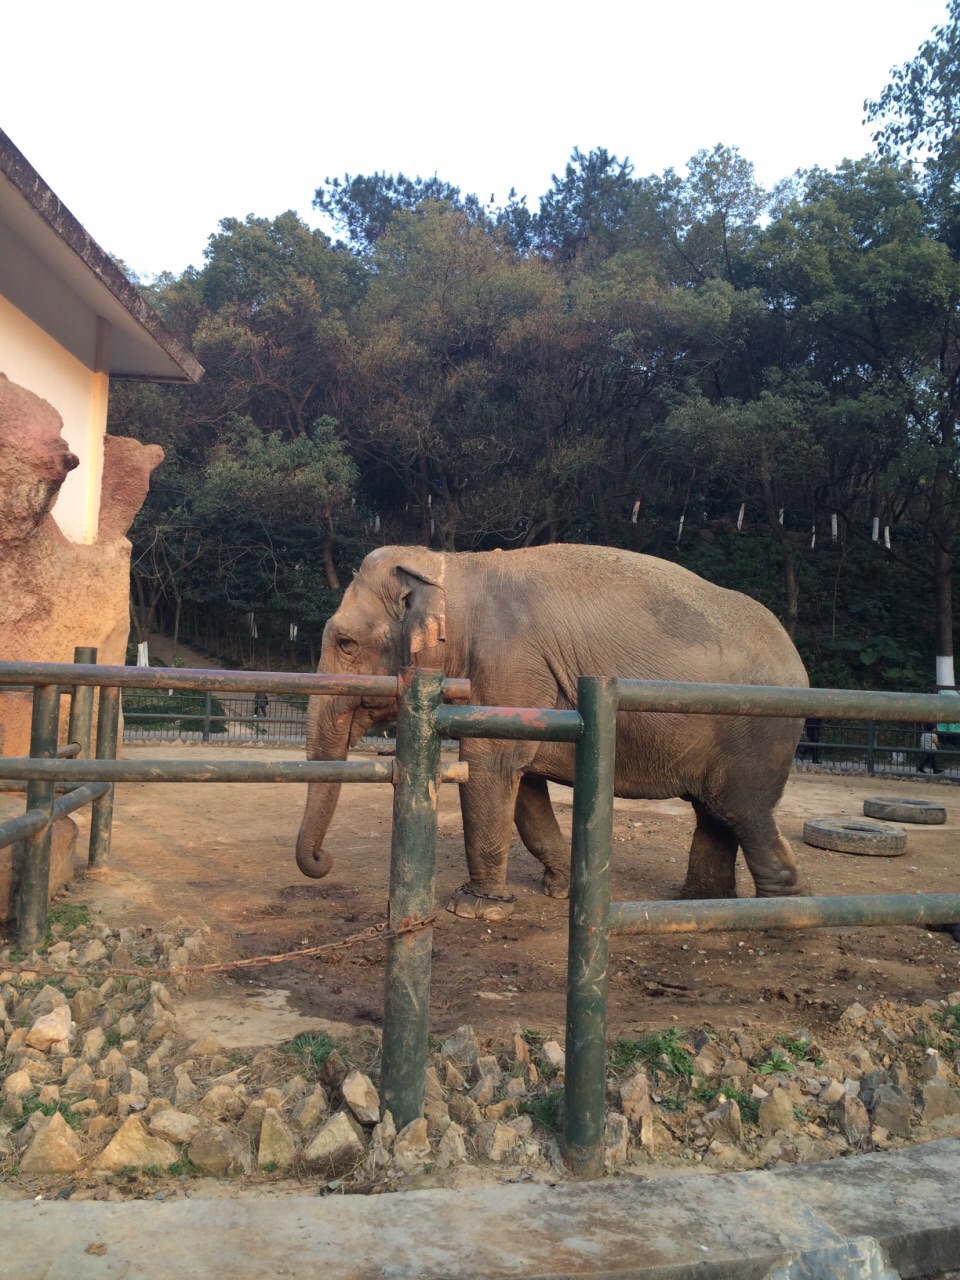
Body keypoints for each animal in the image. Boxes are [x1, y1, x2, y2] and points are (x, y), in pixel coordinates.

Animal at [295, 542, 814, 921]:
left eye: (345, 643)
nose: (323, 861)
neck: (453, 568)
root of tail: (796, 657)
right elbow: (523, 786)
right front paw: (563, 888)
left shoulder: (510, 664)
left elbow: (490, 765)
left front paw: (474, 908)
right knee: (714, 813)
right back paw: (699, 903)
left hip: (759, 732)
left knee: (743, 810)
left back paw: (784, 913)